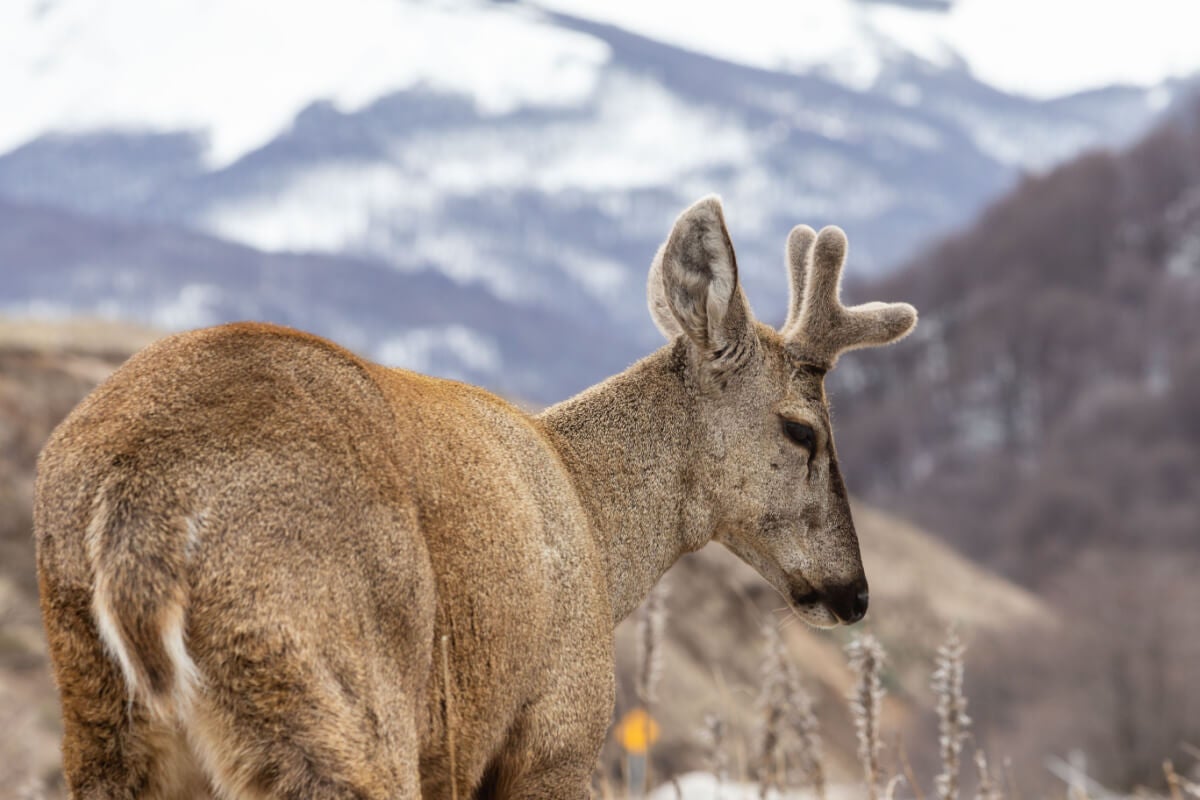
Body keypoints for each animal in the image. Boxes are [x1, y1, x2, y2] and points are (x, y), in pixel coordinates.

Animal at [37, 195, 916, 800]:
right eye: (802, 430)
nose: (854, 592)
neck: (596, 525)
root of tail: (135, 502)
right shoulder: (558, 728)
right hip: (324, 682)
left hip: (103, 723)